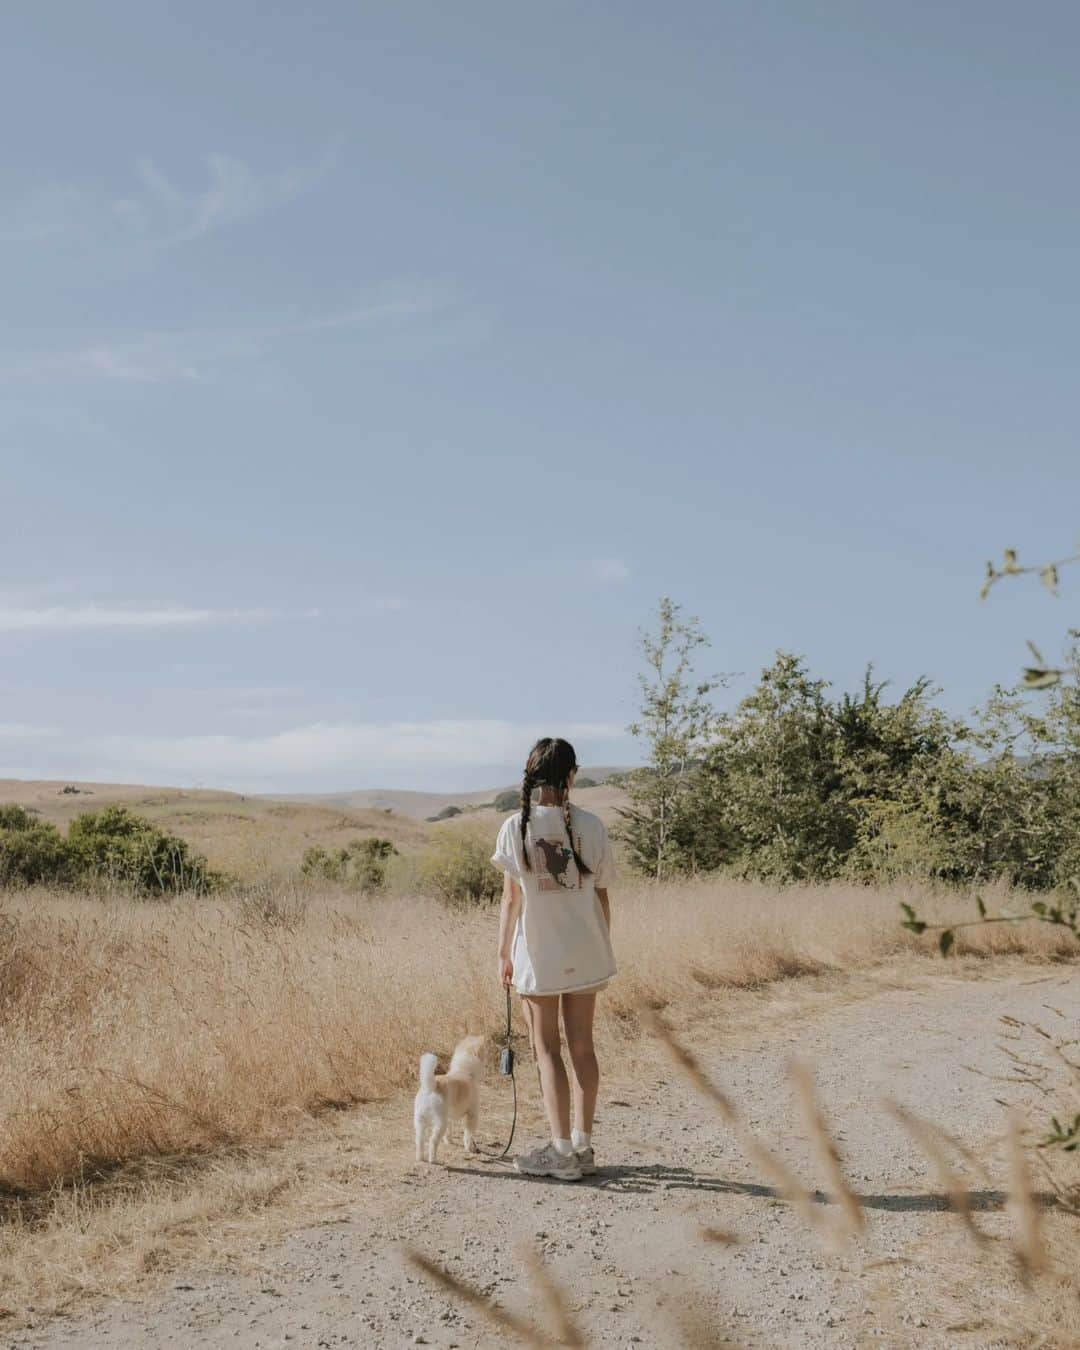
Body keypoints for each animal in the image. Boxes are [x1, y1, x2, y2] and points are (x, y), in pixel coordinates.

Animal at [413, 1036, 486, 1166]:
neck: (464, 1070)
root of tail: (431, 1087)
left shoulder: (449, 1116)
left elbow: (450, 1131)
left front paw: (449, 1141)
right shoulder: (472, 1115)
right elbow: (469, 1134)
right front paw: (470, 1148)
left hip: (420, 1122)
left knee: (420, 1141)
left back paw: (420, 1158)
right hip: (440, 1124)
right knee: (432, 1142)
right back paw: (433, 1159)